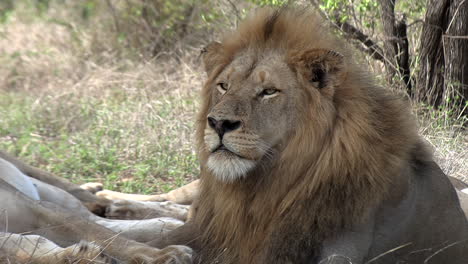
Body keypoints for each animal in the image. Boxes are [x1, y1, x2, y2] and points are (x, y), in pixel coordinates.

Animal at [149, 6, 468, 264]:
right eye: (224, 86)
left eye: (269, 91)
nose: (218, 123)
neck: (266, 188)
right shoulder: (212, 229)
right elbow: (152, 240)